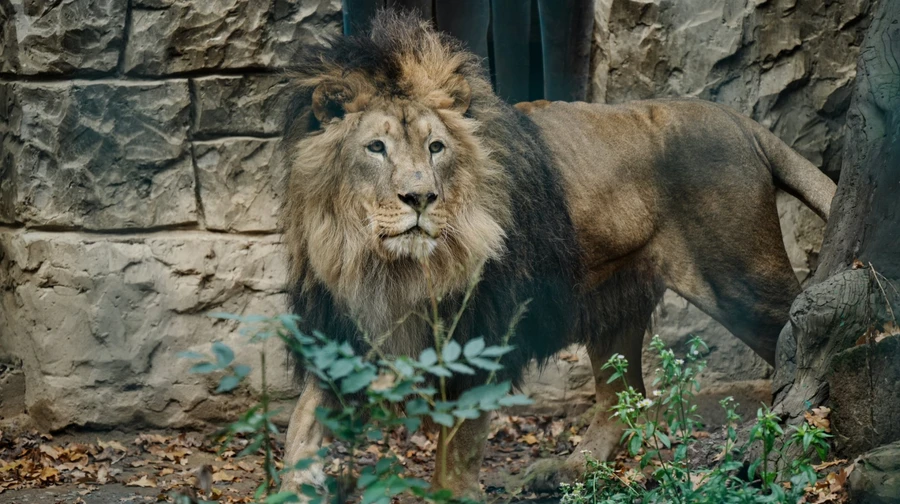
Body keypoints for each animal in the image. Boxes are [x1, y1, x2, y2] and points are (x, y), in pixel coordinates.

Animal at [276, 11, 836, 498]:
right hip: (616, 302)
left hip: (742, 281)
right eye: (376, 147)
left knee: (796, 339)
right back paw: (566, 469)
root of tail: (739, 122)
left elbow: (455, 454)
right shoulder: (340, 331)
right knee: (622, 399)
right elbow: (301, 426)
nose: (420, 198)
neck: (389, 267)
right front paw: (298, 484)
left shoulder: (480, 337)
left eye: (436, 147)